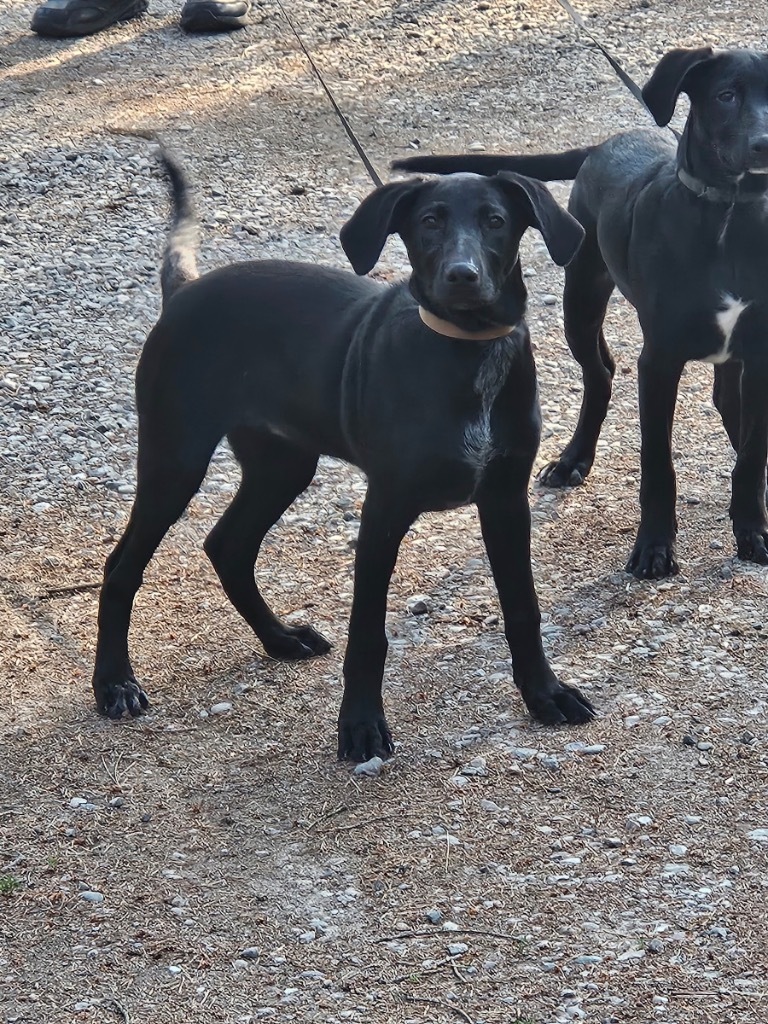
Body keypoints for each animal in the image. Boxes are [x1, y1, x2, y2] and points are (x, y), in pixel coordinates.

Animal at [91, 149, 593, 761]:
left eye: (496, 221)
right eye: (430, 222)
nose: (462, 276)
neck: (467, 349)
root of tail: (184, 290)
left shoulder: (505, 499)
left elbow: (523, 607)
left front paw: (546, 694)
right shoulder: (385, 509)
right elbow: (368, 633)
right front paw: (360, 725)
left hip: (283, 464)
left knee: (228, 544)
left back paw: (280, 638)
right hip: (175, 459)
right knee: (122, 567)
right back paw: (115, 683)